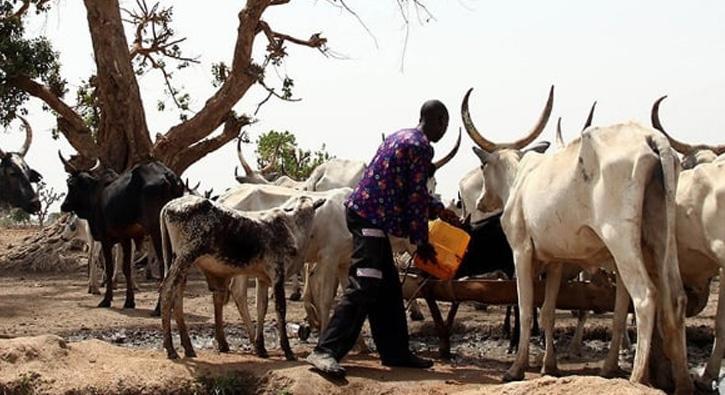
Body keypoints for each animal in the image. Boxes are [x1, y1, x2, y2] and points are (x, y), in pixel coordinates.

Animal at [59, 153, 184, 310]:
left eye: (69, 183)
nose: (63, 205)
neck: (95, 194)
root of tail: (168, 176)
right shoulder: (126, 238)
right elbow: (126, 268)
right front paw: (129, 301)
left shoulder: (106, 238)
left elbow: (110, 267)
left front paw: (106, 299)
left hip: (158, 231)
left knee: (164, 263)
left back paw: (158, 307)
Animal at [464, 86, 692, 392]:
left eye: (483, 167)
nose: (480, 202)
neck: (520, 180)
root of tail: (650, 137)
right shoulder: (556, 261)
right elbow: (547, 311)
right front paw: (550, 366)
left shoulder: (521, 251)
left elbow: (526, 308)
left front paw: (516, 368)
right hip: (661, 238)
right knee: (675, 298)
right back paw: (682, 383)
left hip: (620, 240)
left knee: (645, 296)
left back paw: (636, 378)